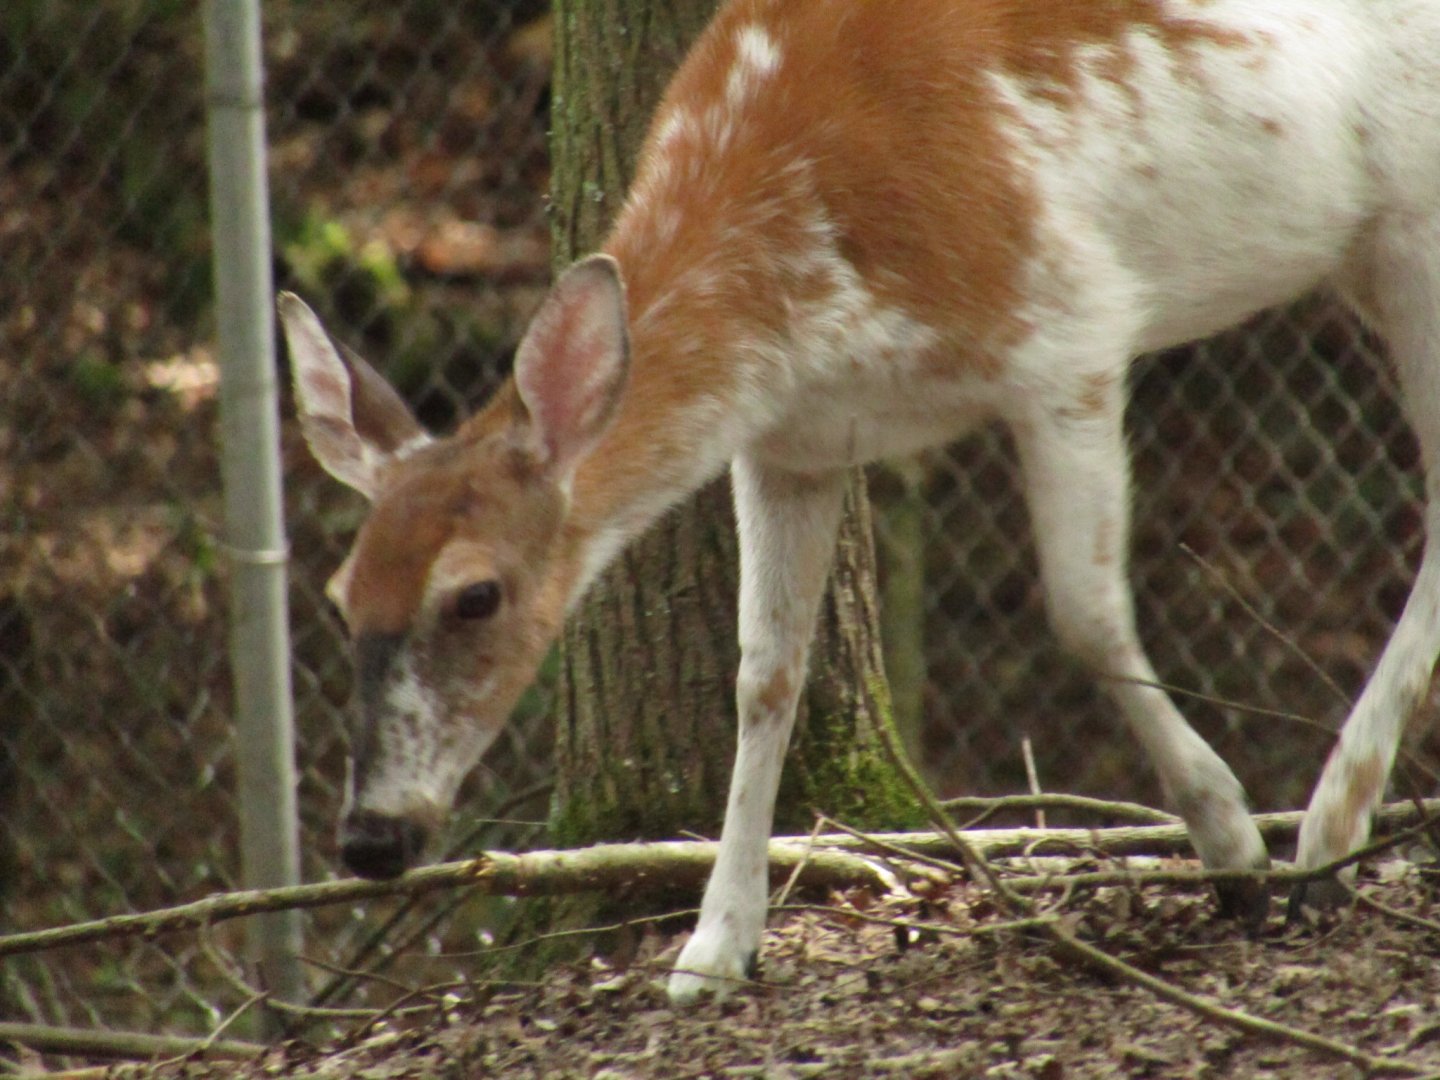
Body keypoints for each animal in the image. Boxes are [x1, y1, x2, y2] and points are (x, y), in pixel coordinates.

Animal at [279, 0, 1440, 1003]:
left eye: (476, 594)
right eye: (340, 596)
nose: (369, 838)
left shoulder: (1069, 326)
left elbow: (1085, 615)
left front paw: (1234, 851)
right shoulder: (789, 441)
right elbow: (763, 673)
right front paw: (714, 947)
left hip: (1411, 233)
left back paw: (1327, 837)